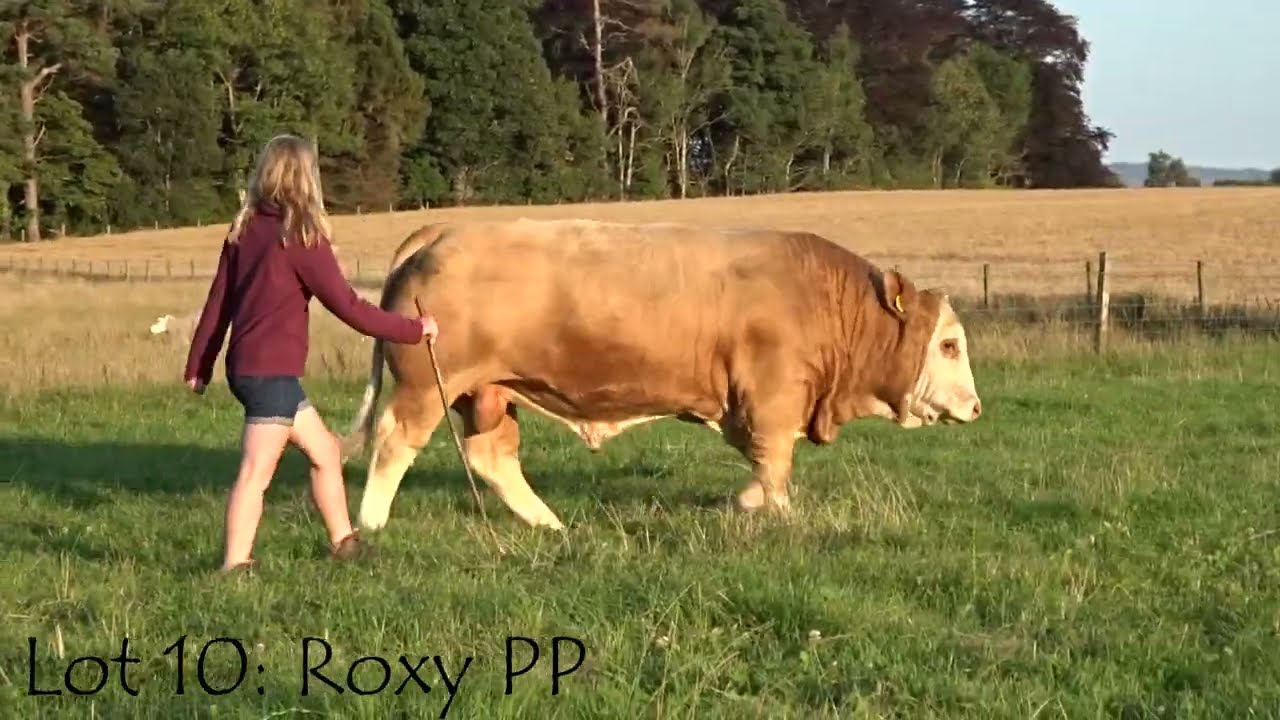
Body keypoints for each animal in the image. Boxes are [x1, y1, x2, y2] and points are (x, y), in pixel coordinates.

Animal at [341, 218, 981, 532]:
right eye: (949, 344)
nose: (976, 408)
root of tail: (444, 231)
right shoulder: (773, 398)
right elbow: (774, 466)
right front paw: (775, 513)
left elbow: (762, 469)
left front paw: (745, 504)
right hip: (428, 384)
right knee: (395, 440)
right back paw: (370, 522)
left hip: (488, 392)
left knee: (491, 456)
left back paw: (548, 523)